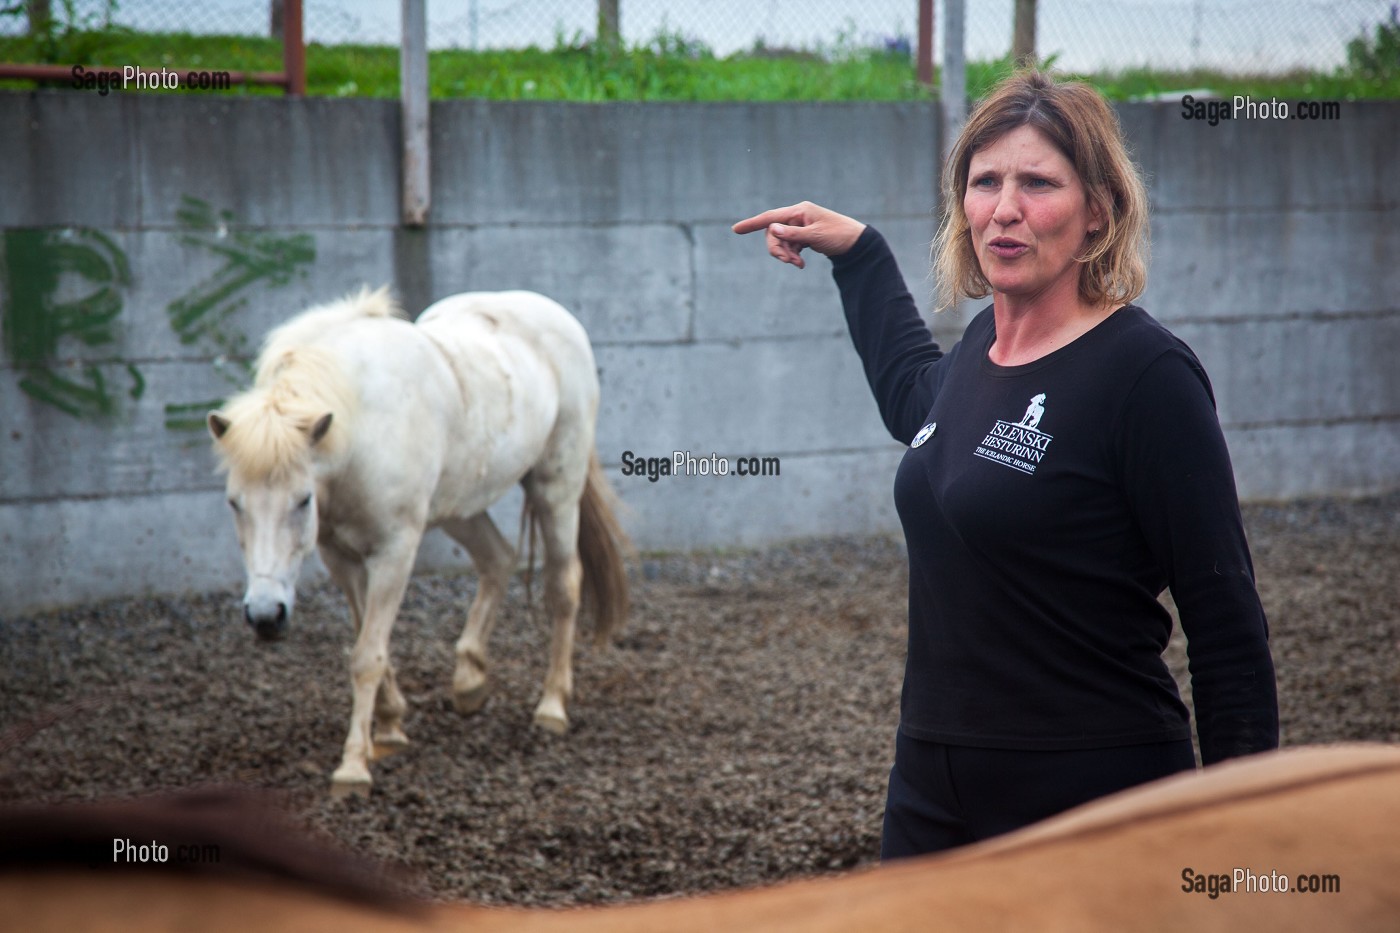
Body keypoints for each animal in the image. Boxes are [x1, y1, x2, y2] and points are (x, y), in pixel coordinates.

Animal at [205, 288, 630, 790]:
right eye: (235, 502)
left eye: (303, 500)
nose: (265, 617)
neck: (359, 429)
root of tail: (554, 313)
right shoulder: (339, 557)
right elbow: (368, 641)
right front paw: (389, 729)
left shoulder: (394, 552)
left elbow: (368, 655)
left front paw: (353, 768)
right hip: (458, 507)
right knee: (498, 559)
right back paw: (469, 681)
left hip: (556, 488)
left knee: (563, 586)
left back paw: (551, 707)